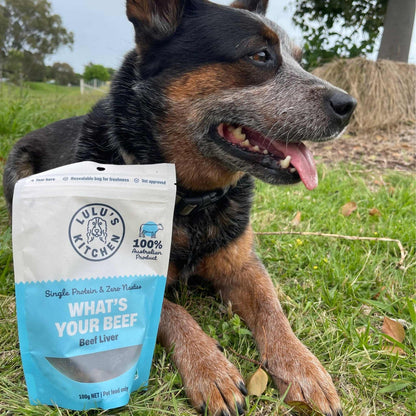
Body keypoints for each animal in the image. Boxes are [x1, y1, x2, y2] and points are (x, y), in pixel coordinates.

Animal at [3, 1, 356, 414]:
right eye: (260, 55)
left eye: (300, 60)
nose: (349, 105)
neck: (188, 201)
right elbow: (174, 313)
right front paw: (211, 370)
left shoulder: (242, 263)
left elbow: (273, 310)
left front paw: (303, 366)